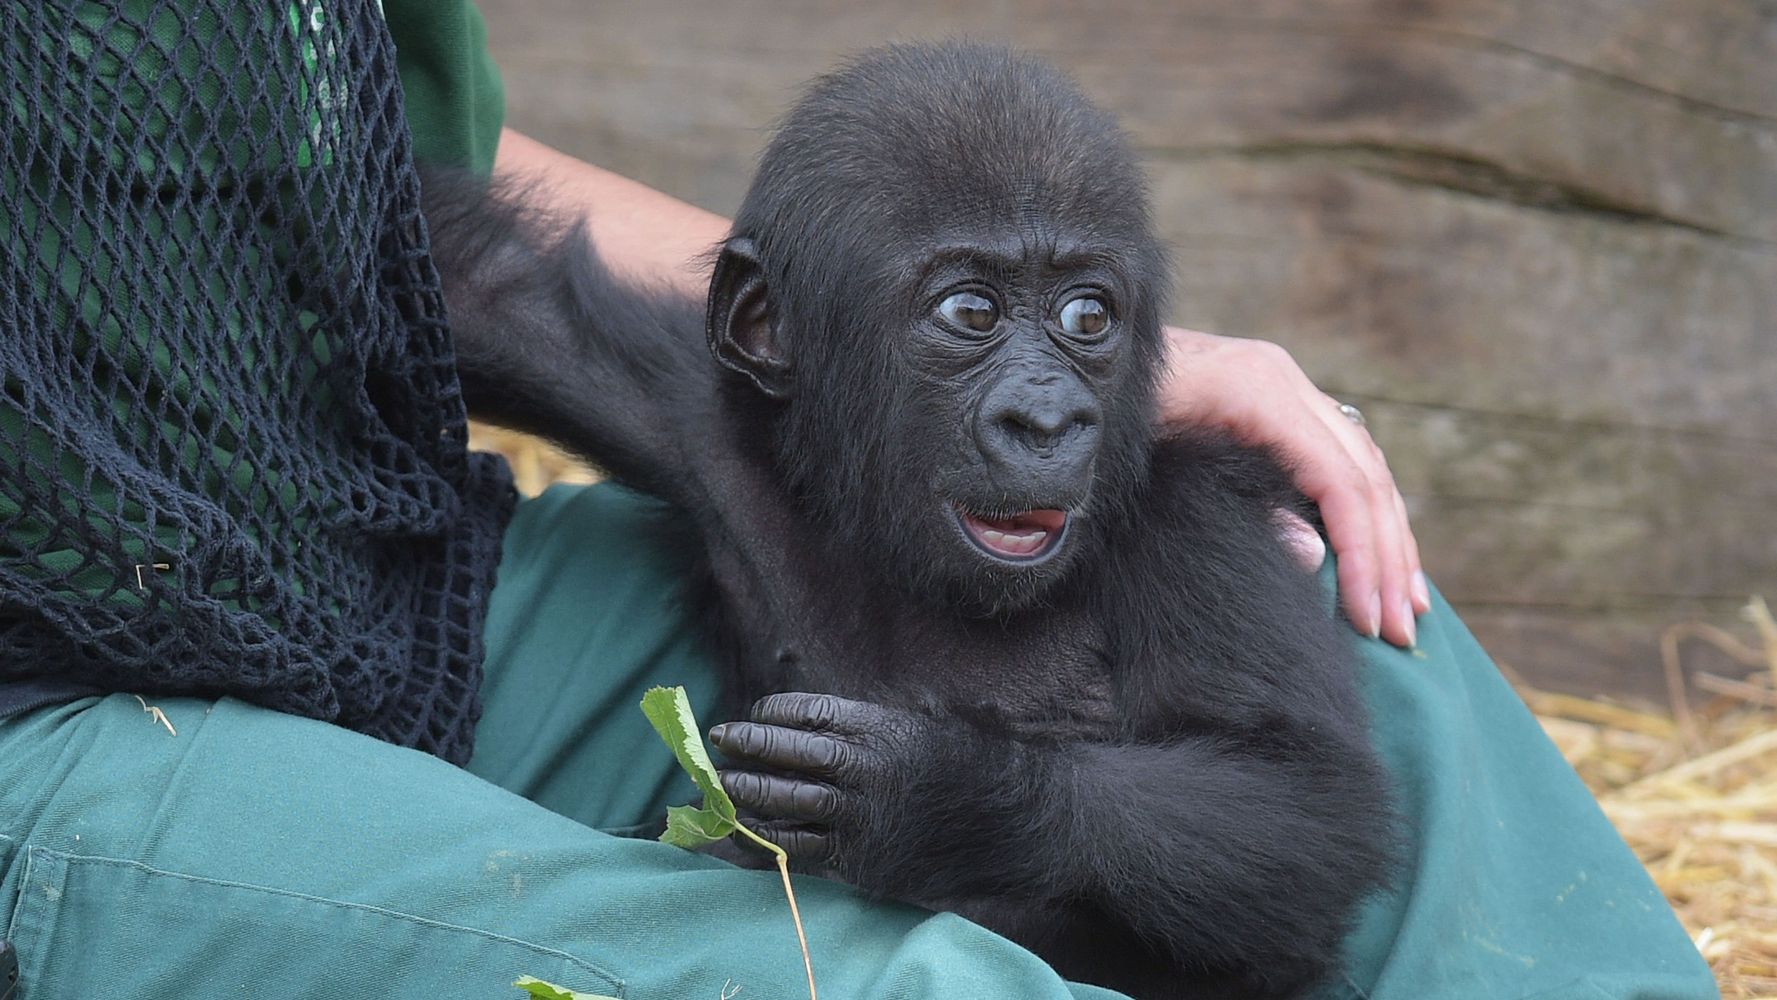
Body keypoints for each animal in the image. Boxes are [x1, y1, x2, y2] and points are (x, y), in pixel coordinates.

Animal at [422, 41, 1393, 1000]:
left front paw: (939, 795)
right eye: (971, 312)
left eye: (1087, 315)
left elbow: (1301, 802)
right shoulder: (682, 400)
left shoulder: (1200, 524)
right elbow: (477, 285)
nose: (1046, 418)